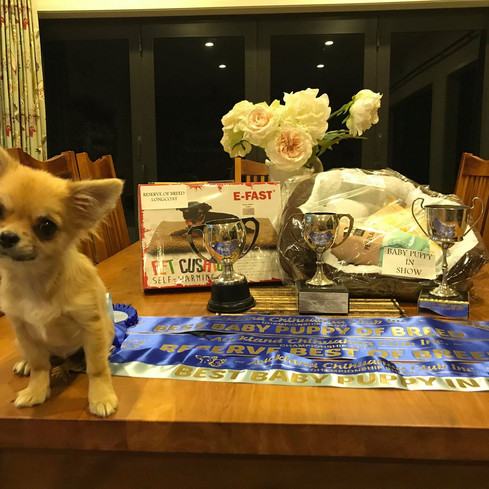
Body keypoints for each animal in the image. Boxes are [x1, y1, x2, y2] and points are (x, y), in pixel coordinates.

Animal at [0, 148, 122, 417]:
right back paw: (24, 364)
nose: (6, 236)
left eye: (47, 227)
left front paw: (101, 397)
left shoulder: (91, 326)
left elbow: (96, 368)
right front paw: (36, 390)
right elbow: (39, 365)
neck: (33, 279)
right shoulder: (23, 328)